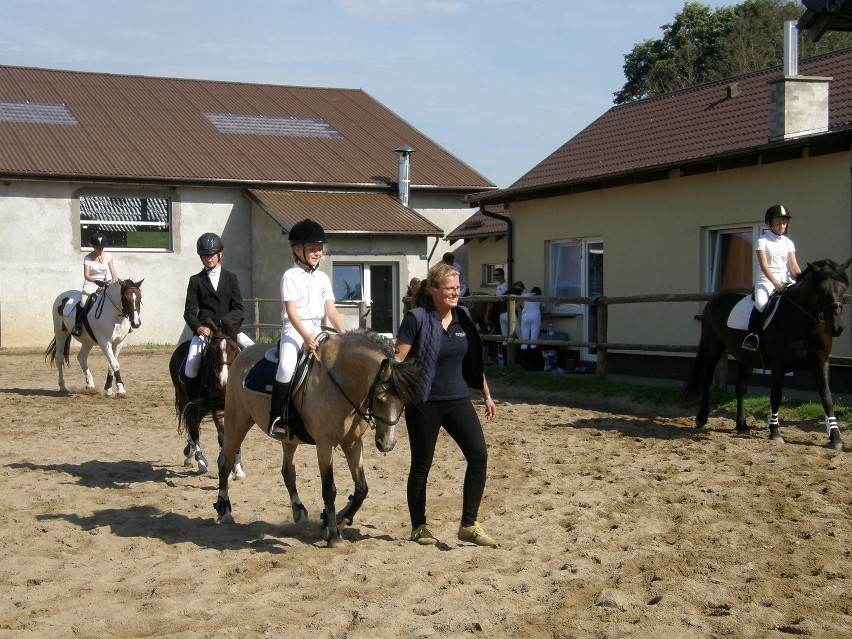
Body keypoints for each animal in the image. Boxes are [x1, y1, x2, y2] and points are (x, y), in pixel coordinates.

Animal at [168, 318, 245, 478]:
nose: (224, 382)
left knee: (194, 423)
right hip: (188, 400)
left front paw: (238, 468)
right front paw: (227, 471)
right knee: (193, 426)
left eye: (234, 348)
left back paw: (191, 455)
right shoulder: (217, 408)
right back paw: (200, 462)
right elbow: (222, 436)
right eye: (213, 350)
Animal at [215, 332, 422, 548]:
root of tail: (243, 353)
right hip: (237, 422)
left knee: (288, 471)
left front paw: (339, 520)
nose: (386, 444)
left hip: (289, 438)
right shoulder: (324, 444)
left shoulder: (353, 442)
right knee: (225, 462)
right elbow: (329, 488)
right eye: (380, 398)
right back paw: (225, 510)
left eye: (404, 402)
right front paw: (332, 532)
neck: (341, 380)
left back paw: (298, 510)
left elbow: (361, 488)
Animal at [684, 258, 852, 450]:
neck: (803, 323)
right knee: (707, 379)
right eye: (821, 288)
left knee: (741, 386)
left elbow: (827, 398)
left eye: (843, 288)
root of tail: (715, 298)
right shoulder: (779, 364)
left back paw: (741, 424)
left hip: (746, 357)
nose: (837, 327)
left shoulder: (821, 363)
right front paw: (775, 432)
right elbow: (776, 396)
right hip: (713, 348)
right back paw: (702, 418)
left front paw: (836, 438)